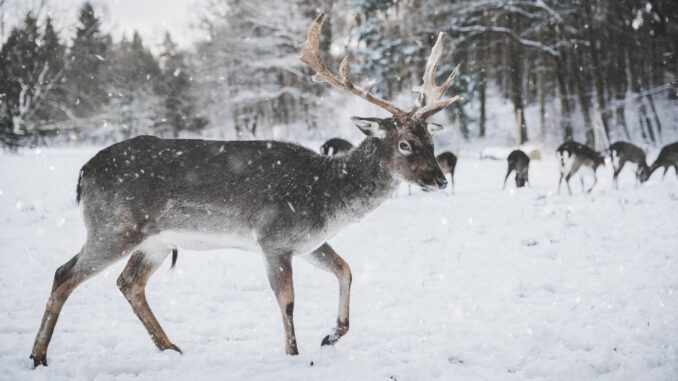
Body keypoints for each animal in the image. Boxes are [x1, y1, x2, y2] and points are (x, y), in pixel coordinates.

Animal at [27, 13, 462, 366]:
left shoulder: (308, 242)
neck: (326, 197)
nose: (439, 179)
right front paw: (294, 355)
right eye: (404, 143)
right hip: (115, 225)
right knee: (64, 273)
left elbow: (346, 270)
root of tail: (83, 172)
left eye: (431, 139)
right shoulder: (274, 238)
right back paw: (39, 356)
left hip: (156, 240)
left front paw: (331, 336)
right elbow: (288, 301)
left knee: (129, 283)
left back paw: (171, 349)